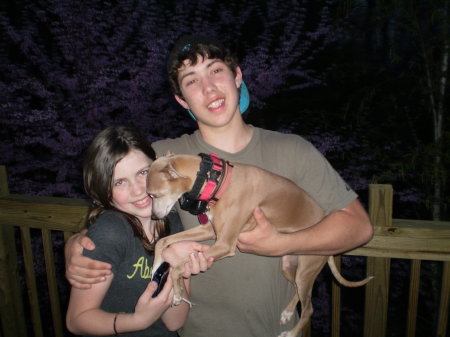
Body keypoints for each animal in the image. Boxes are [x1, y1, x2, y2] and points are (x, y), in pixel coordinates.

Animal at [148, 153, 372, 336]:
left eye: (154, 195)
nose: (154, 217)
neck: (219, 180)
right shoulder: (210, 231)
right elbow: (163, 241)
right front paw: (156, 266)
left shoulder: (225, 244)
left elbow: (178, 267)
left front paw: (177, 293)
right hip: (289, 266)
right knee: (297, 292)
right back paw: (287, 312)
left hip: (307, 269)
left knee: (309, 309)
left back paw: (290, 334)